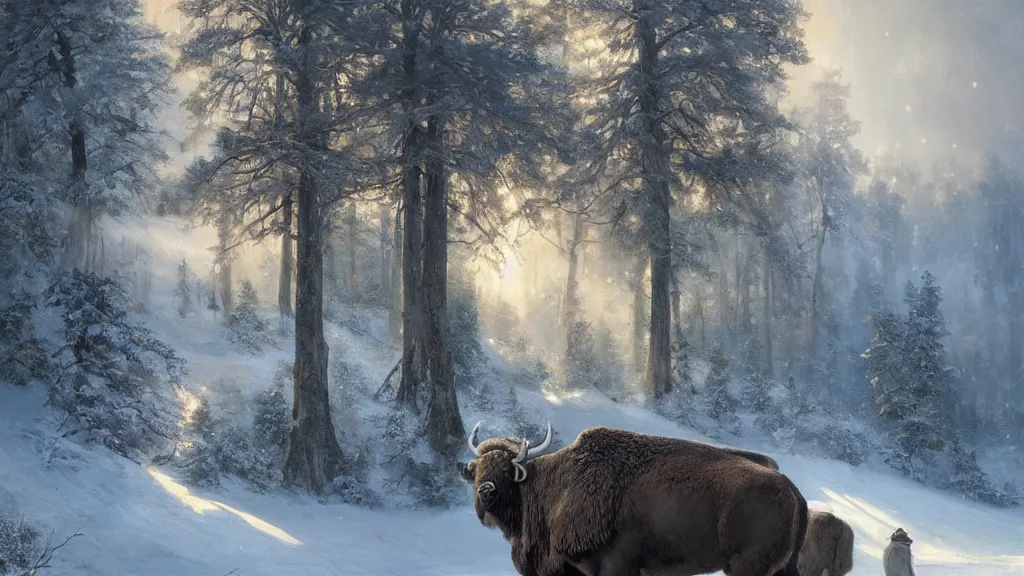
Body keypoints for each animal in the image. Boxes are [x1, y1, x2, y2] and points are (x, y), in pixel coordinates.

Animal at [460, 422, 802, 573]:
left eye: (508, 469)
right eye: (478, 470)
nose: (486, 492)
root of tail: (790, 488)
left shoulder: (615, 566)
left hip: (745, 567)